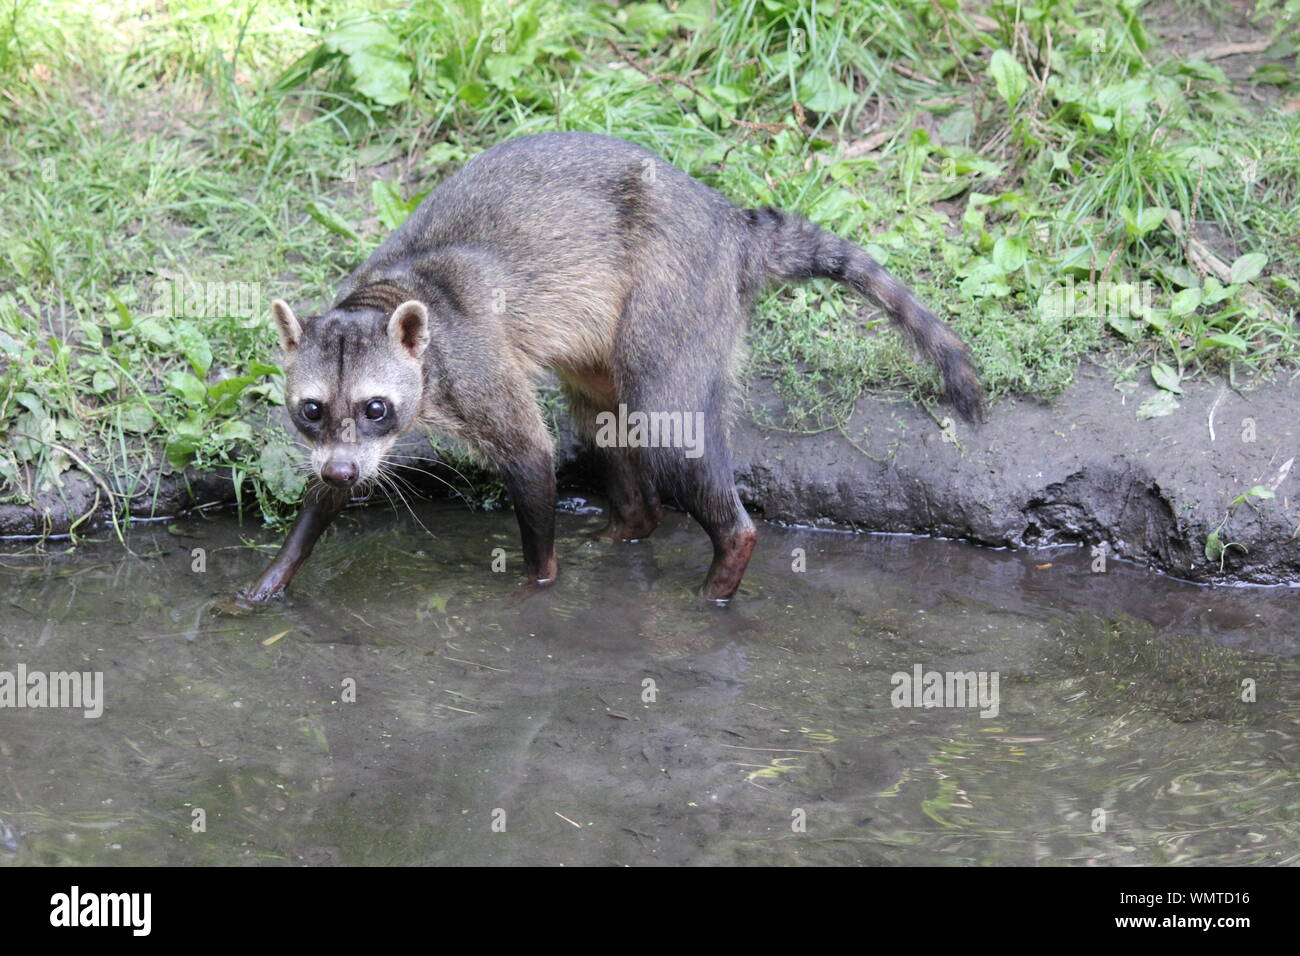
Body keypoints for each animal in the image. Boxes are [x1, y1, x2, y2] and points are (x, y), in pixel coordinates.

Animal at [236, 128, 982, 606]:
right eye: (311, 410)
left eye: (376, 406)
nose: (341, 468)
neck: (384, 297)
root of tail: (731, 224)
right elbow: (328, 495)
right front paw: (277, 571)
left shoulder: (476, 364)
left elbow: (531, 456)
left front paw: (538, 581)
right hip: (609, 343)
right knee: (602, 422)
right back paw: (633, 524)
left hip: (674, 295)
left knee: (667, 430)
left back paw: (723, 562)